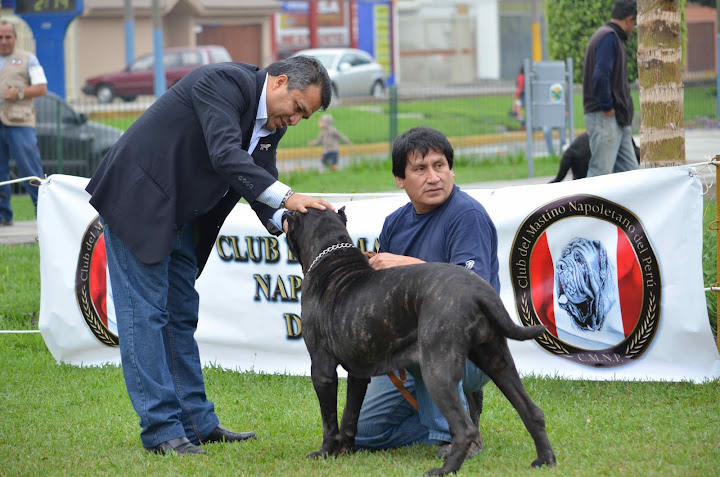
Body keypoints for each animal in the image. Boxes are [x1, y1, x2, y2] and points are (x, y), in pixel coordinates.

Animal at [286, 206, 556, 474]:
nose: (284, 215)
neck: (330, 255)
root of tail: (480, 292)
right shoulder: (358, 372)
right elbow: (350, 415)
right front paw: (344, 450)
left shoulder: (322, 368)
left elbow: (329, 418)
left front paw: (324, 452)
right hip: (497, 361)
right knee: (532, 412)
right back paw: (545, 460)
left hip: (437, 369)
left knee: (465, 427)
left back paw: (445, 469)